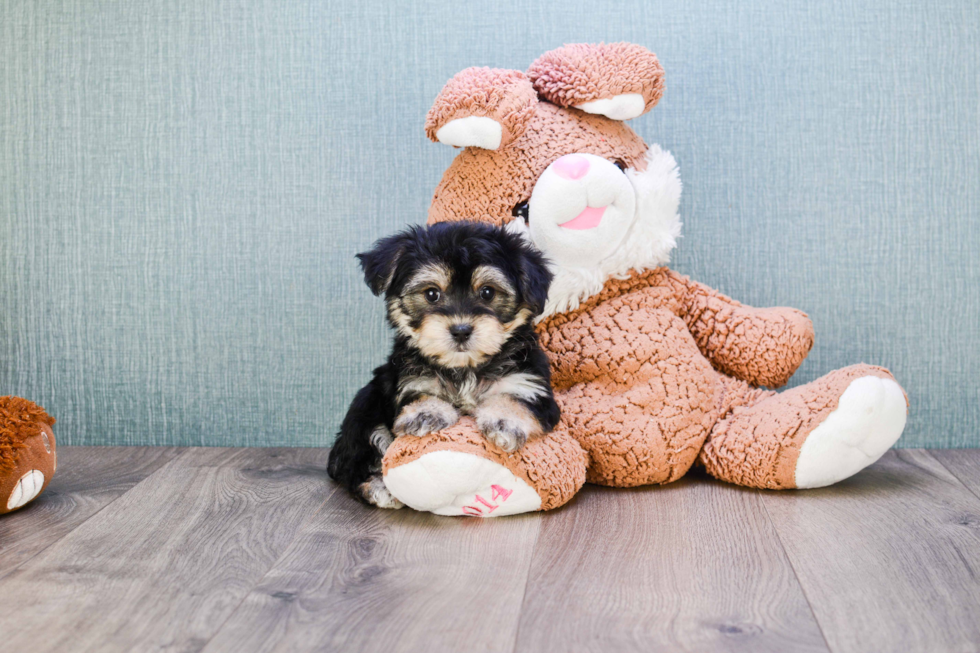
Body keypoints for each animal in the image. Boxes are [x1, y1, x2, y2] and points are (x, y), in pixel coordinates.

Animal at [328, 222, 560, 506]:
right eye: (431, 294)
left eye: (487, 292)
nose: (461, 330)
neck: (464, 368)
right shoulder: (410, 381)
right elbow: (419, 397)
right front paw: (426, 413)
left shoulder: (529, 383)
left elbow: (514, 400)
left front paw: (504, 421)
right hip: (365, 408)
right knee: (356, 460)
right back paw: (379, 487)